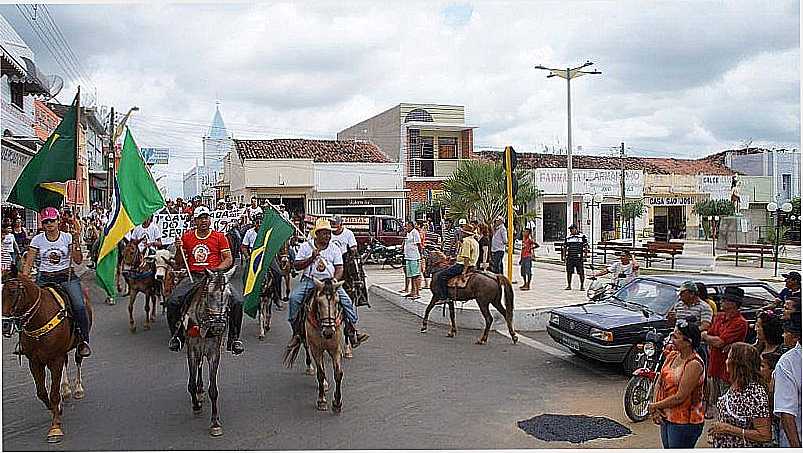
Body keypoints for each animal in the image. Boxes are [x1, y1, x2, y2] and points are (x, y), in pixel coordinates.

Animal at [1, 272, 93, 442]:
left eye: (13, 291)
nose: (4, 325)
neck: (39, 318)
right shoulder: (34, 362)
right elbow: (42, 392)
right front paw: (56, 408)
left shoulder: (55, 359)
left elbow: (54, 394)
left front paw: (55, 428)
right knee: (65, 364)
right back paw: (66, 390)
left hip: (78, 343)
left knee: (78, 360)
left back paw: (78, 389)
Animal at [181, 266, 232, 436]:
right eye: (210, 295)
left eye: (229, 296)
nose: (218, 326)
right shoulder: (191, 350)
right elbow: (190, 382)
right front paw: (196, 405)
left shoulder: (214, 353)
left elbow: (213, 390)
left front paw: (215, 423)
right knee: (198, 366)